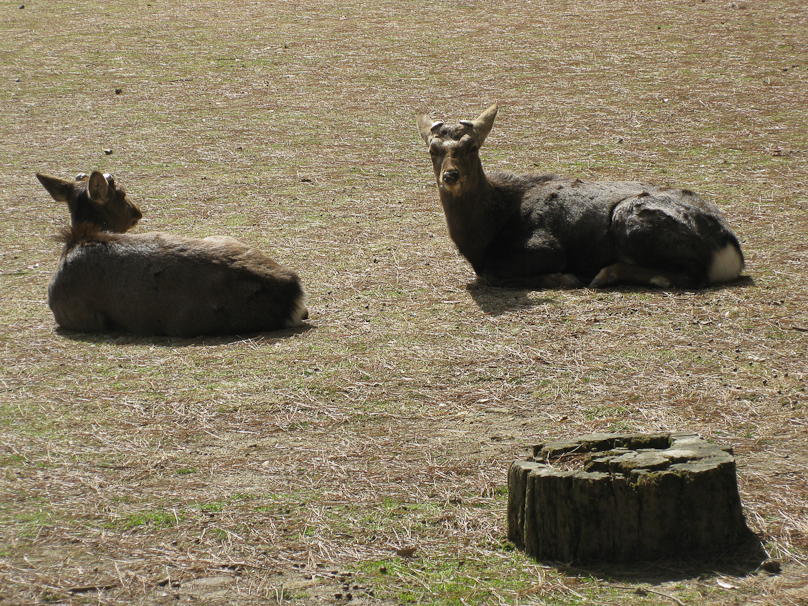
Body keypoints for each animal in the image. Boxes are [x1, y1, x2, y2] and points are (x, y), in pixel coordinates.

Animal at [416, 104, 745, 290]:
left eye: (472, 147)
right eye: (433, 149)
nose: (450, 176)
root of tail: (732, 252)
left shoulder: (547, 246)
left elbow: (492, 273)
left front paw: (564, 279)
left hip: (630, 217)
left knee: (691, 275)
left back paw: (606, 274)